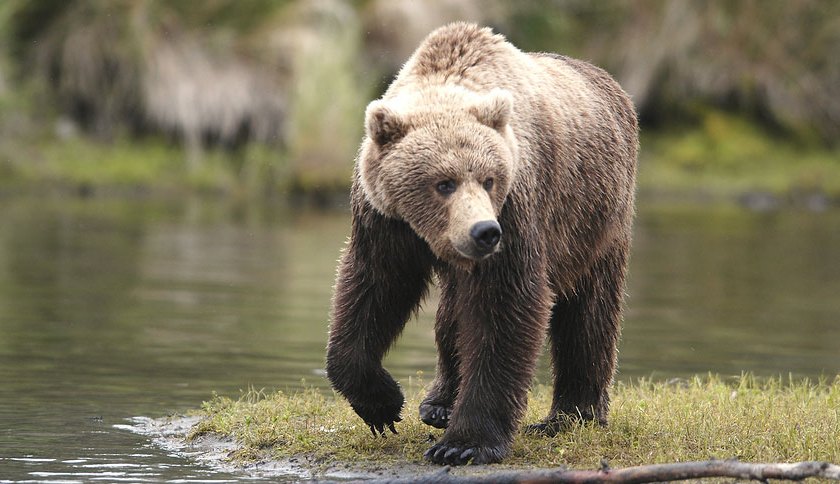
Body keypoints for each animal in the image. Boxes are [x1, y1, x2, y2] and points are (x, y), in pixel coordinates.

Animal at [326, 22, 638, 465]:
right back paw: (438, 403)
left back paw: (571, 415)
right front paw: (382, 405)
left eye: (489, 179)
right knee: (452, 315)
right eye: (444, 183)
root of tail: (613, 85)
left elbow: (505, 309)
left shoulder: (518, 209)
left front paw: (464, 443)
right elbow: (373, 289)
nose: (484, 231)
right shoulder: (385, 222)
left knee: (588, 313)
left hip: (594, 220)